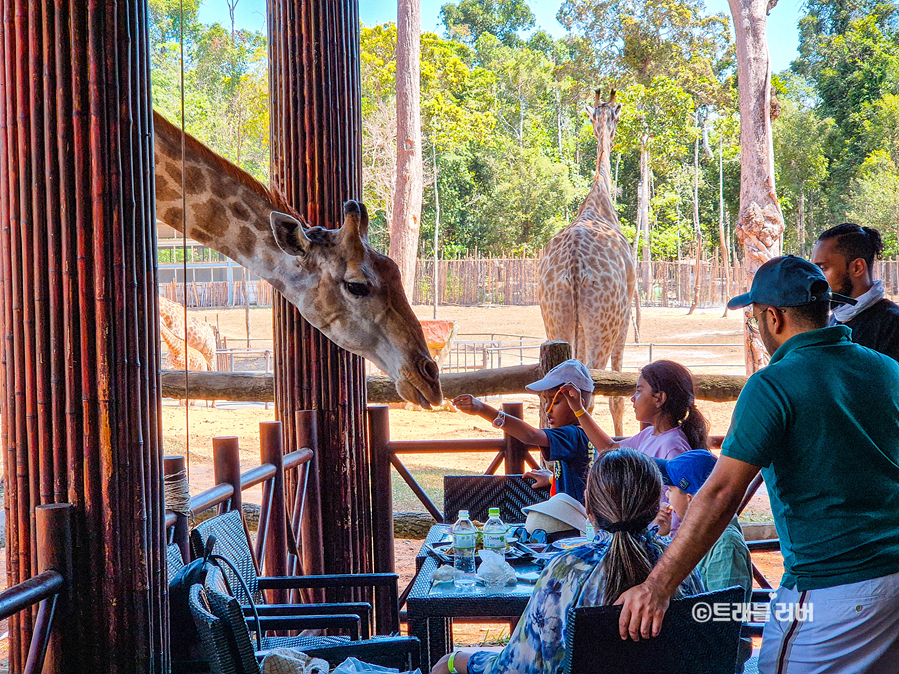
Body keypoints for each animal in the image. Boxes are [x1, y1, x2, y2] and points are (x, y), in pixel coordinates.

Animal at [536, 89, 636, 434]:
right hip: (604, 323)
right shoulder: (626, 316)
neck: (599, 202)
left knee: (552, 388)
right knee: (589, 391)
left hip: (555, 315)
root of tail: (575, 267)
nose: (610, 131)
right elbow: (618, 394)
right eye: (616, 119)